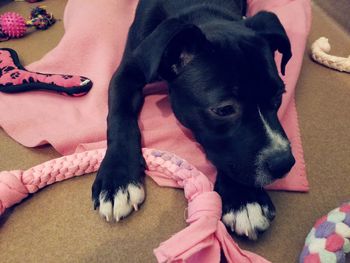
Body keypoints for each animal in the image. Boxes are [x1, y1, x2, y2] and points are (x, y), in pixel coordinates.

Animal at [92, 0, 296, 241]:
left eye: (279, 96)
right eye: (224, 109)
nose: (284, 164)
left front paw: (244, 198)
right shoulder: (128, 71)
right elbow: (120, 117)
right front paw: (118, 177)